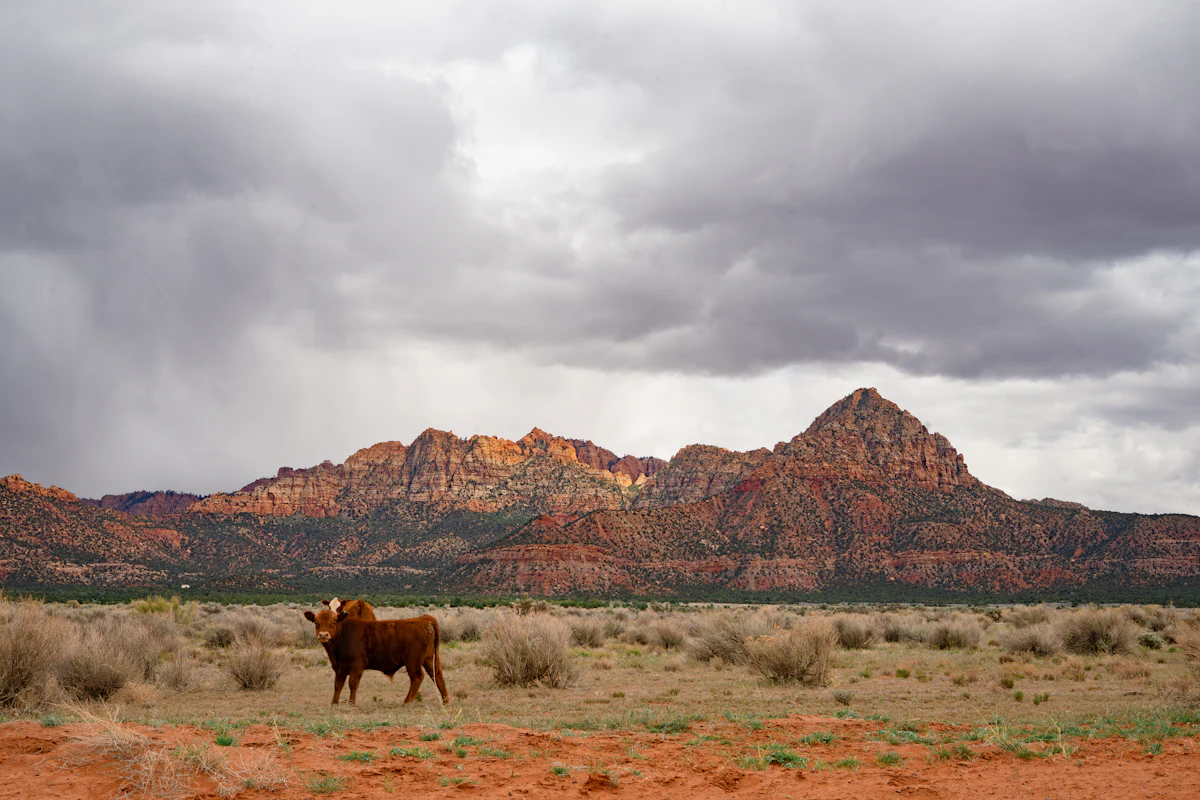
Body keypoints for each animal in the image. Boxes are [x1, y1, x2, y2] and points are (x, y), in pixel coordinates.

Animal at [302, 605, 449, 706]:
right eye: (316, 623)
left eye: (333, 622)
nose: (323, 635)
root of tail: (423, 619)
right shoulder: (340, 667)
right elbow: (338, 684)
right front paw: (334, 702)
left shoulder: (356, 665)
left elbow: (352, 683)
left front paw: (351, 702)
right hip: (430, 659)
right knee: (437, 675)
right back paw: (445, 700)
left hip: (413, 661)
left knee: (417, 677)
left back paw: (406, 701)